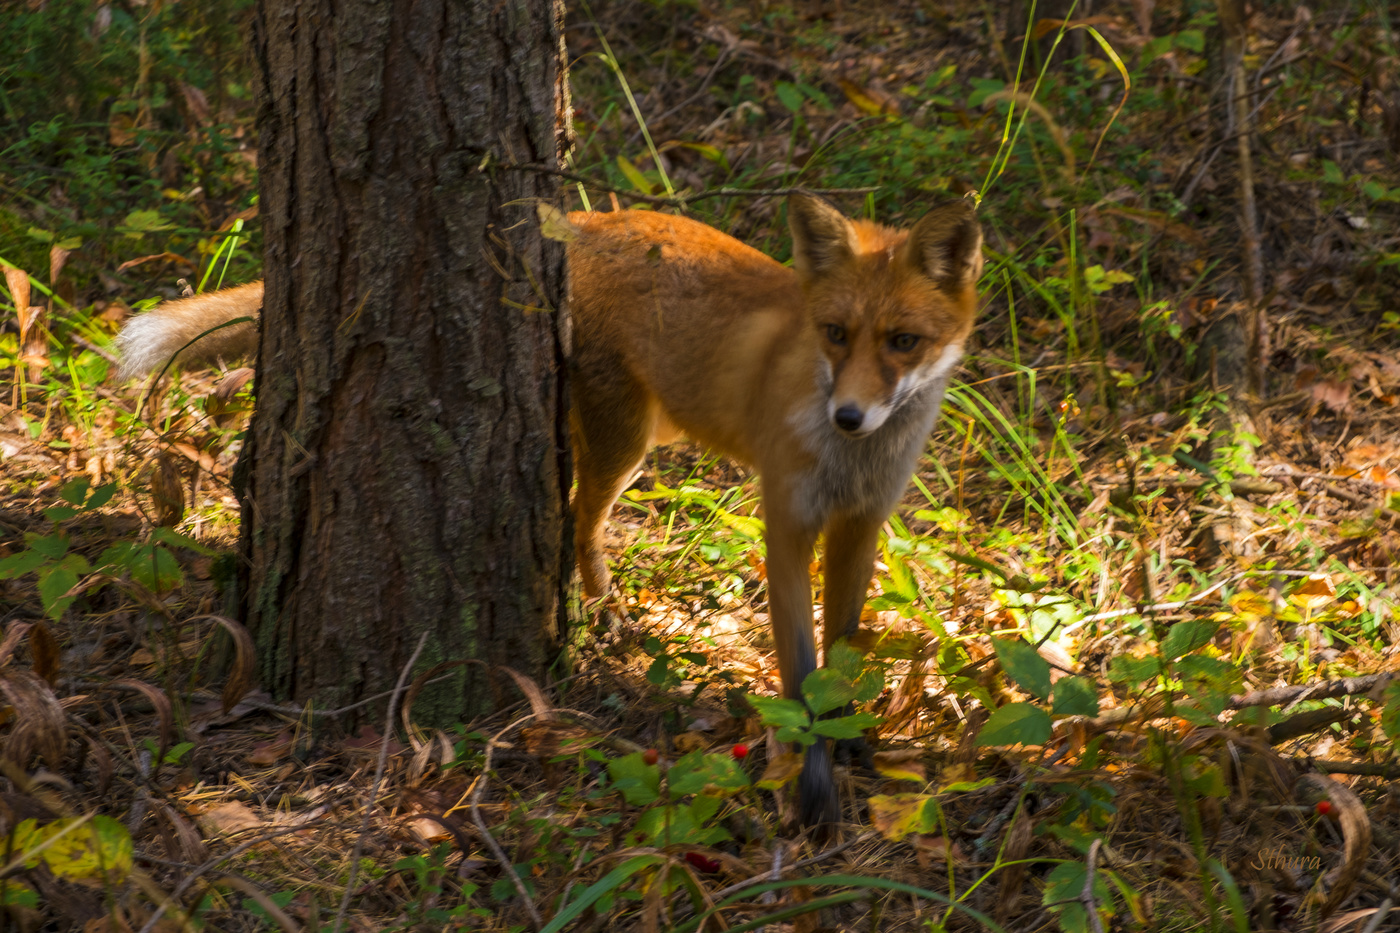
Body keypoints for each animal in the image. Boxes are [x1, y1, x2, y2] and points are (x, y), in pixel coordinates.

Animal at [112, 194, 985, 823]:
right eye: (835, 333)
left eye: (902, 341)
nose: (850, 416)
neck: (854, 461)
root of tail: (589, 218)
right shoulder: (788, 527)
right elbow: (802, 676)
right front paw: (813, 789)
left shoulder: (859, 528)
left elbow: (844, 655)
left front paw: (858, 742)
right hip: (622, 445)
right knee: (576, 522)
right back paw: (604, 617)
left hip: (639, 438)